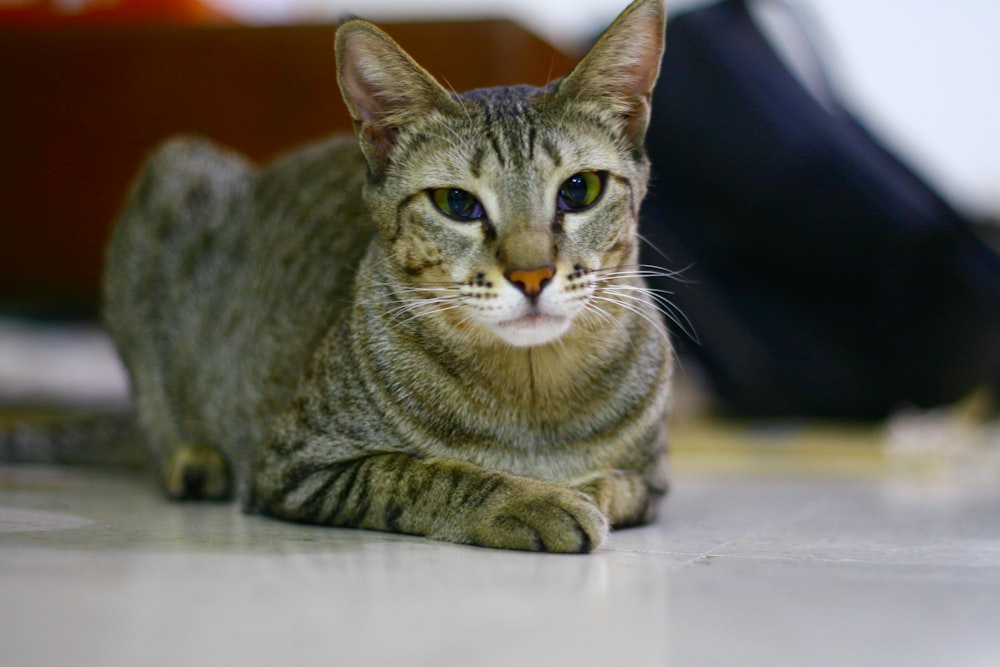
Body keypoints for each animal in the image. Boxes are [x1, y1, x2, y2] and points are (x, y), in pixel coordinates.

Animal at [3, 0, 672, 552]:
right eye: (457, 203)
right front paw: (531, 499)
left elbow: (621, 486)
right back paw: (193, 459)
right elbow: (420, 474)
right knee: (155, 415)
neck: (531, 401)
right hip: (172, 176)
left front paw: (579, 487)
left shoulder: (654, 481)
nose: (532, 274)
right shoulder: (296, 463)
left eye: (579, 190)